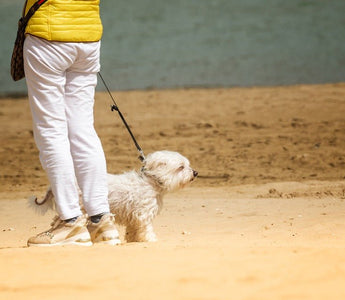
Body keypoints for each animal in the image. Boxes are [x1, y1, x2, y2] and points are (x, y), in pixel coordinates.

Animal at [30, 151, 198, 243]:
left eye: (187, 165)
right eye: (181, 167)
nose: (195, 172)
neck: (150, 182)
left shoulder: (134, 216)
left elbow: (133, 230)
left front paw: (134, 240)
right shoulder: (144, 214)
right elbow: (146, 229)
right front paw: (151, 239)